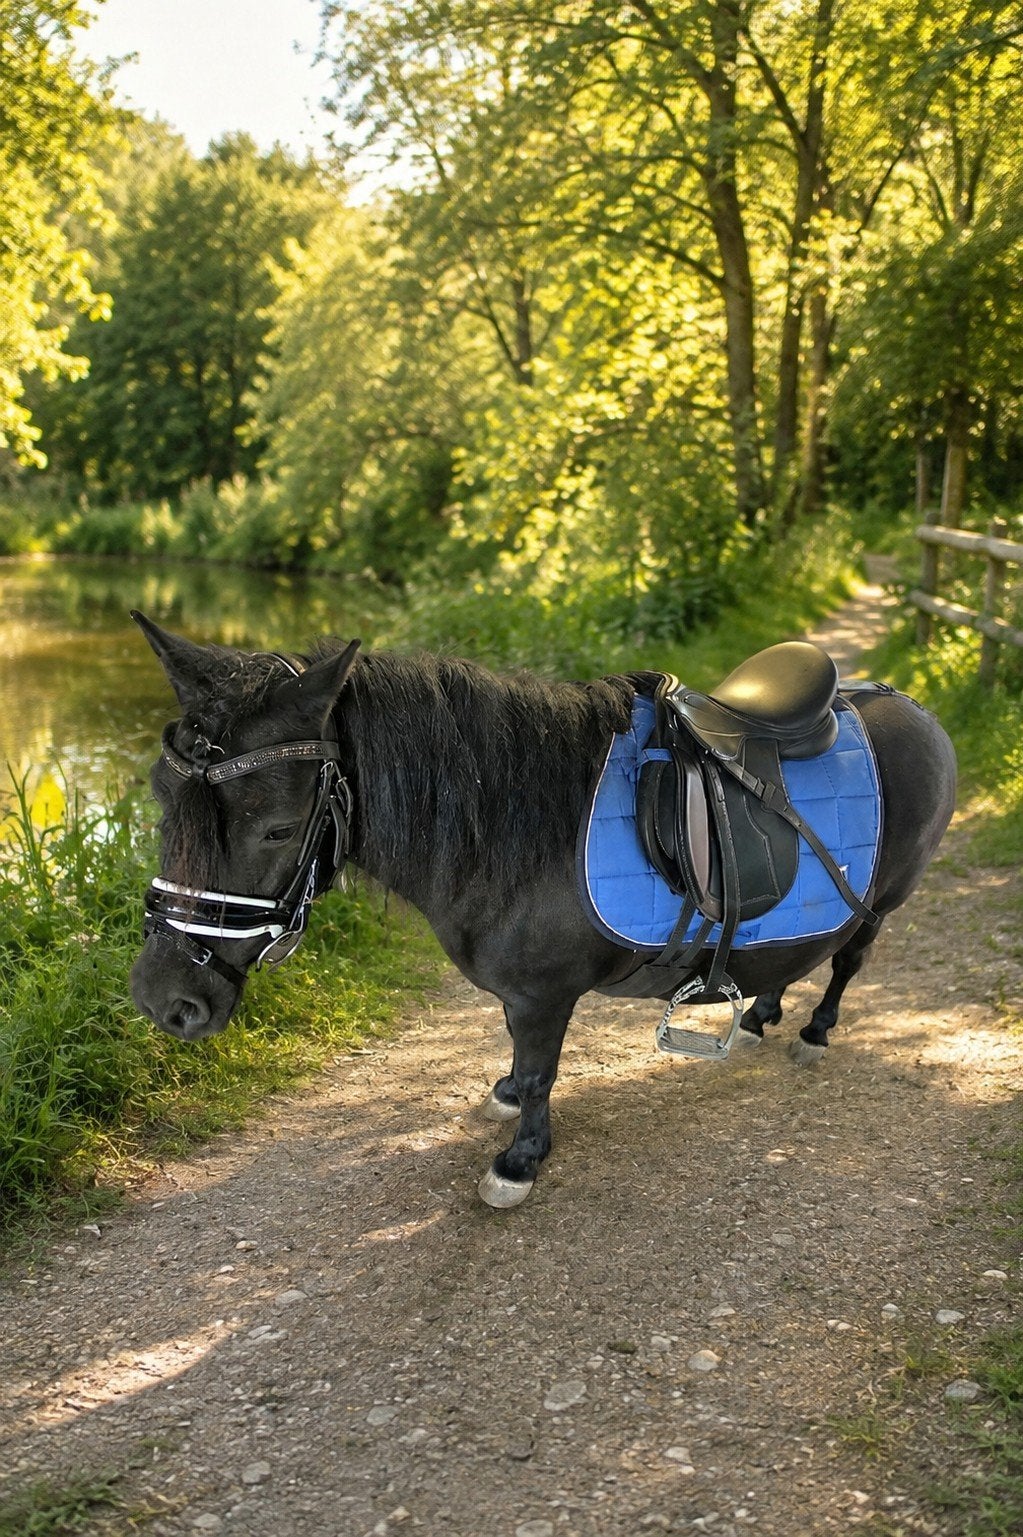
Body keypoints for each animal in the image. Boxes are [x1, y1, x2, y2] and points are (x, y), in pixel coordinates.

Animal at [128, 613, 957, 1208]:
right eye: (162, 800)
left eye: (275, 827)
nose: (167, 1000)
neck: (510, 821)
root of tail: (911, 705)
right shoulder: (520, 996)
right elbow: (515, 1061)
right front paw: (503, 1100)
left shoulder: (544, 995)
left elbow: (537, 1074)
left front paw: (520, 1160)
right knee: (795, 949)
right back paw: (760, 1012)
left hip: (881, 902)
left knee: (846, 958)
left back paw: (814, 1029)